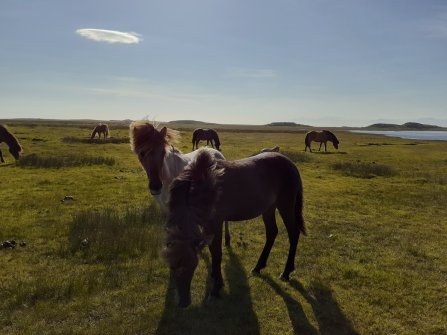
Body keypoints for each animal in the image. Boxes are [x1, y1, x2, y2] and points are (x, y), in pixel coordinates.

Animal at [164, 150, 308, 308]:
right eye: (171, 267)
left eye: (190, 264)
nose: (183, 303)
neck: (201, 186)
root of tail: (291, 164)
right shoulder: (207, 224)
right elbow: (212, 250)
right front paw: (214, 276)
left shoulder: (215, 222)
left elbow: (216, 253)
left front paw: (216, 289)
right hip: (269, 207)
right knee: (272, 232)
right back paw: (258, 267)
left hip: (285, 204)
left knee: (293, 233)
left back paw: (286, 272)